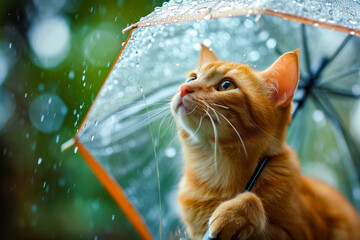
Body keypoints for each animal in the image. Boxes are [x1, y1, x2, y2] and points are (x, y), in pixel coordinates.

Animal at [171, 44, 360, 239]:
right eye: (192, 77)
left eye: (226, 85)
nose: (184, 88)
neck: (216, 170)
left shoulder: (304, 231)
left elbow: (254, 202)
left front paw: (235, 214)